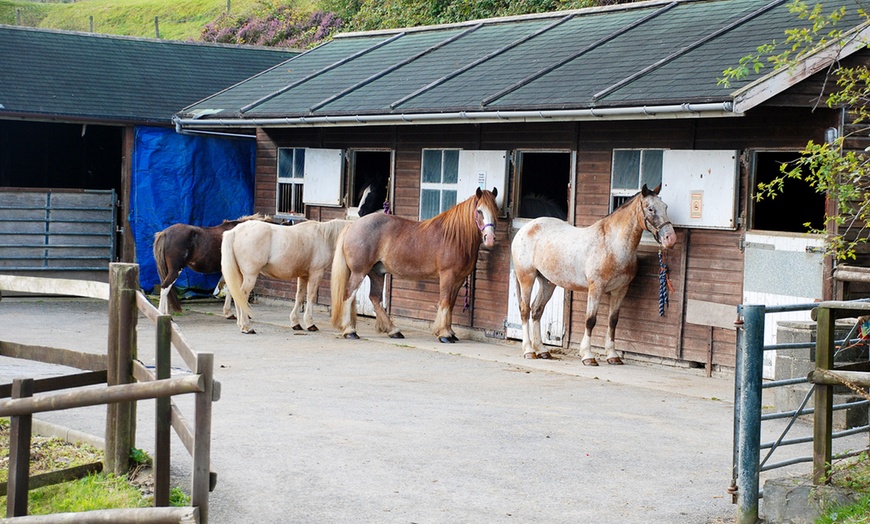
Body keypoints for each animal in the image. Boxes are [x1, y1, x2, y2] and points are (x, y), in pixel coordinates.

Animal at [220, 218, 352, 334]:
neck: (323, 237)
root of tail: (235, 231)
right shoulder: (316, 273)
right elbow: (311, 296)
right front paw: (310, 324)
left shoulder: (303, 275)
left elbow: (299, 297)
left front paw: (295, 323)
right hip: (250, 276)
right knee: (242, 295)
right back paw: (246, 327)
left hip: (239, 275)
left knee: (236, 294)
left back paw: (240, 324)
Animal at [330, 188, 500, 344]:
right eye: (479, 211)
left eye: (496, 210)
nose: (490, 238)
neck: (455, 237)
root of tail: (352, 226)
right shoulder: (447, 275)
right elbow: (445, 301)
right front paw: (444, 334)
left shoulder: (458, 279)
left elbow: (450, 304)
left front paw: (450, 332)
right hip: (359, 272)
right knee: (349, 295)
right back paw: (350, 331)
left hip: (376, 273)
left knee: (375, 298)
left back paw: (393, 331)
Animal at [510, 186, 680, 366]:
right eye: (650, 209)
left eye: (665, 207)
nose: (670, 238)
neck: (613, 245)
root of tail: (526, 228)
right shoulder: (596, 288)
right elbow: (590, 320)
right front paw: (588, 356)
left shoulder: (620, 290)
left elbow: (613, 321)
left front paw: (613, 355)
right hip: (526, 278)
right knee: (525, 310)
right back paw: (529, 351)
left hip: (547, 282)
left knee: (537, 310)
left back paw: (542, 351)